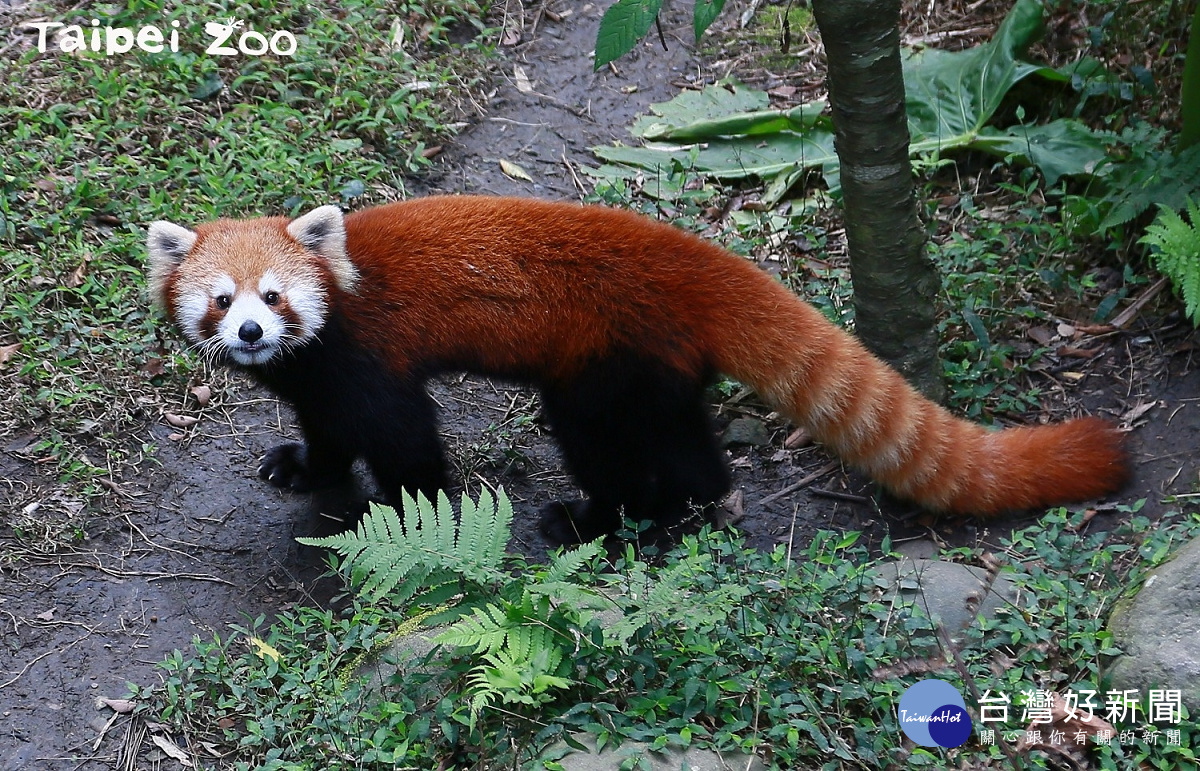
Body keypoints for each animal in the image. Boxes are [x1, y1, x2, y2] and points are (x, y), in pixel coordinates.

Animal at [145, 193, 1128, 540]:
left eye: (274, 297)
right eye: (221, 301)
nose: (250, 335)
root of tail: (690, 258)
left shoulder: (370, 354)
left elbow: (406, 441)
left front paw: (408, 513)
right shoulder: (315, 374)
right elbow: (320, 426)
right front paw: (304, 467)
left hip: (602, 366)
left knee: (604, 445)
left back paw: (601, 517)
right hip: (654, 369)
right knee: (687, 441)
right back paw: (688, 501)